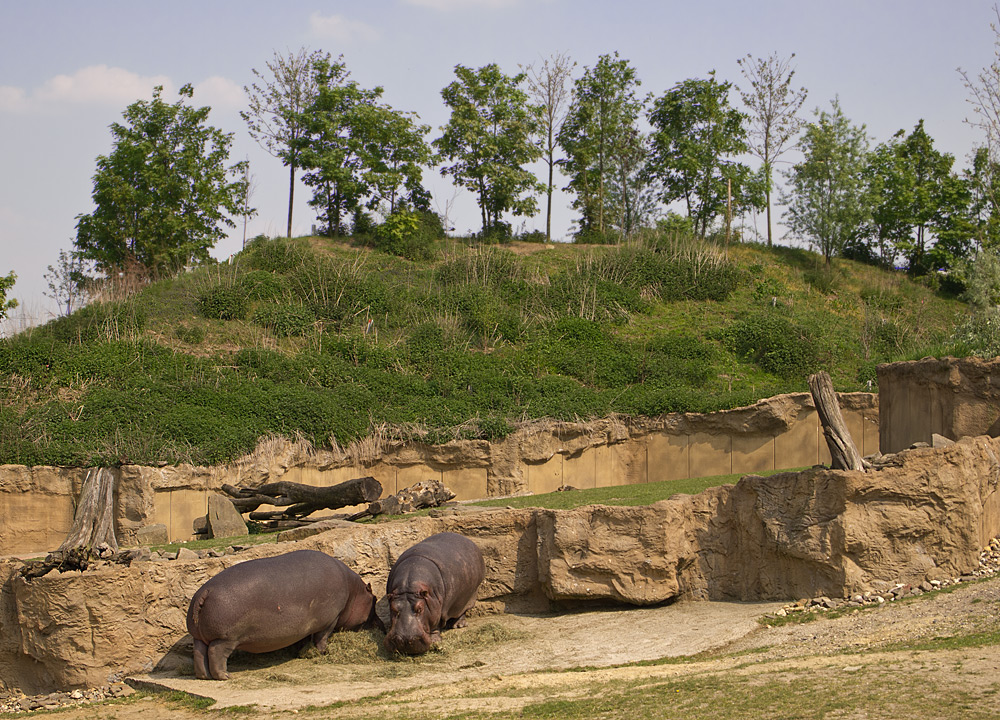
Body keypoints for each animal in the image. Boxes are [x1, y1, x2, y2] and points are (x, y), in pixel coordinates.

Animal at [186, 552, 380, 680]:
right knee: (216, 653)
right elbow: (322, 637)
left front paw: (301, 652)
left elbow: (305, 639)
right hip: (226, 638)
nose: (381, 624)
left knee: (199, 653)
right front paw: (323, 652)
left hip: (199, 636)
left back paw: (203, 676)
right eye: (374, 598)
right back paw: (225, 676)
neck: (354, 591)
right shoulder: (330, 619)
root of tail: (205, 592)